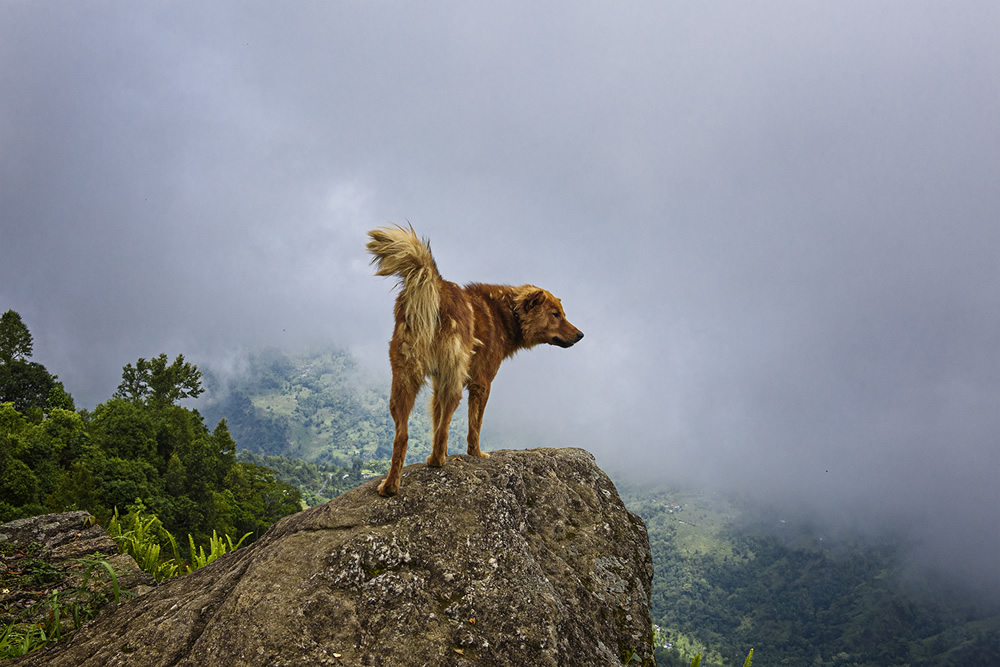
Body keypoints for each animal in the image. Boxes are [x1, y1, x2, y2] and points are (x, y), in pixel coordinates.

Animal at [368, 226, 584, 496]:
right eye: (556, 315)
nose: (580, 334)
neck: (507, 314)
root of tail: (433, 286)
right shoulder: (481, 382)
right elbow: (474, 425)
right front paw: (477, 454)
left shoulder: (438, 382)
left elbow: (438, 423)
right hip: (454, 382)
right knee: (440, 428)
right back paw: (437, 461)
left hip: (404, 379)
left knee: (402, 435)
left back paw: (390, 486)